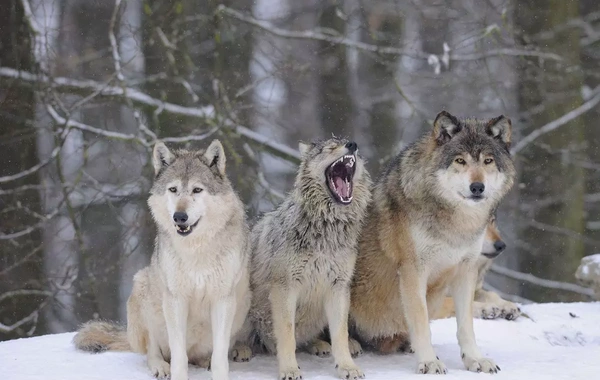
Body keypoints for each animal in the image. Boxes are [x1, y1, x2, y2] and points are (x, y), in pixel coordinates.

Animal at [72, 140, 251, 380]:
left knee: (201, 355)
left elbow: (220, 357)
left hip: (243, 302)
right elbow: (178, 357)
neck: (196, 249)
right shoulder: (175, 299)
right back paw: (160, 367)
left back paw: (208, 360)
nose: (179, 217)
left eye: (197, 190)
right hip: (143, 289)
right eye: (173, 190)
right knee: (153, 351)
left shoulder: (222, 299)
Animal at [239, 137, 370, 380]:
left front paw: (347, 367)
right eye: (329, 148)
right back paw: (240, 350)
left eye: (350, 144)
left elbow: (340, 333)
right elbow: (287, 335)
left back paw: (323, 345)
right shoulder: (285, 288)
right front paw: (290, 370)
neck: (327, 229)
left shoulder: (338, 287)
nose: (353, 144)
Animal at [352, 111, 516, 376]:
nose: (477, 187)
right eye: (460, 161)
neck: (456, 224)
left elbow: (467, 325)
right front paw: (428, 362)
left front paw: (475, 360)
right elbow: (421, 322)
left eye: (488, 161)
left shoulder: (466, 271)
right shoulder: (413, 271)